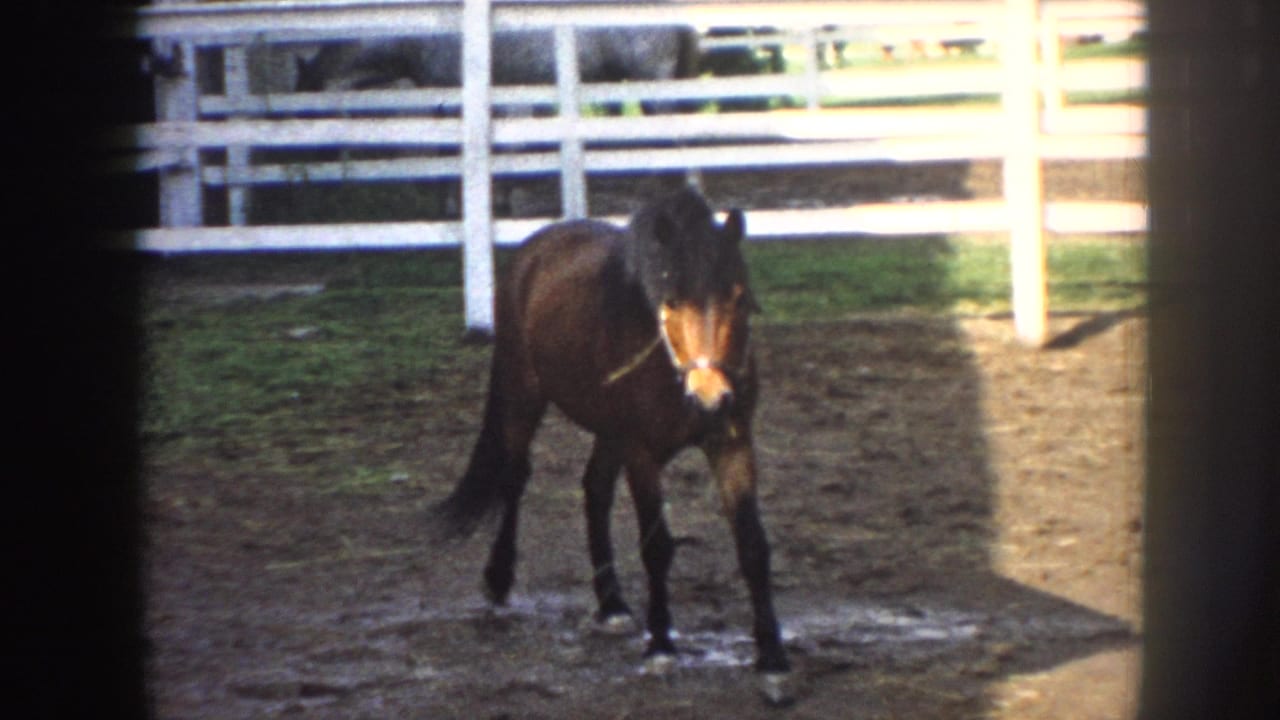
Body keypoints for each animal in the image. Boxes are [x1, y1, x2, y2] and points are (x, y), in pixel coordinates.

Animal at [430, 188, 793, 703]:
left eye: (738, 297)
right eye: (672, 300)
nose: (710, 398)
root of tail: (537, 247)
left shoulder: (731, 444)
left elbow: (753, 546)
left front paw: (772, 657)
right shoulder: (642, 453)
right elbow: (656, 546)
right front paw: (661, 644)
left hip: (608, 431)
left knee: (595, 488)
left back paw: (612, 603)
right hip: (524, 396)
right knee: (515, 480)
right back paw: (499, 580)